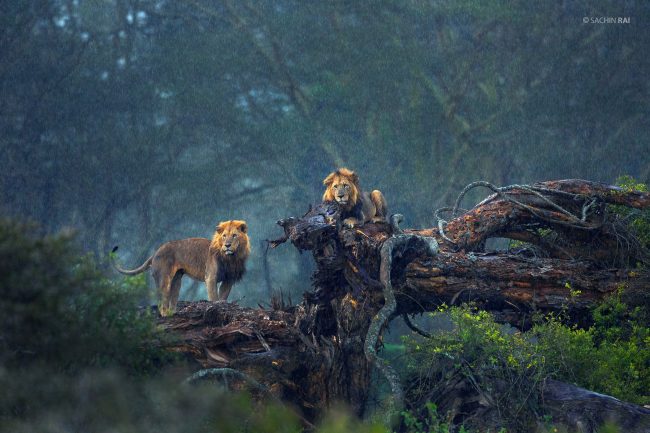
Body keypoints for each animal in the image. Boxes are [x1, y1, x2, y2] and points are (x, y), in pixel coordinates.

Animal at [111, 220, 250, 317]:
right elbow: (214, 297)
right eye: (224, 236)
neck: (231, 258)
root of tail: (155, 253)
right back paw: (166, 315)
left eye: (234, 235)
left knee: (172, 298)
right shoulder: (211, 277)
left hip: (177, 279)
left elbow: (223, 296)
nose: (227, 245)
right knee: (162, 301)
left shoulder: (229, 279)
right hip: (164, 278)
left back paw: (173, 313)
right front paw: (215, 308)